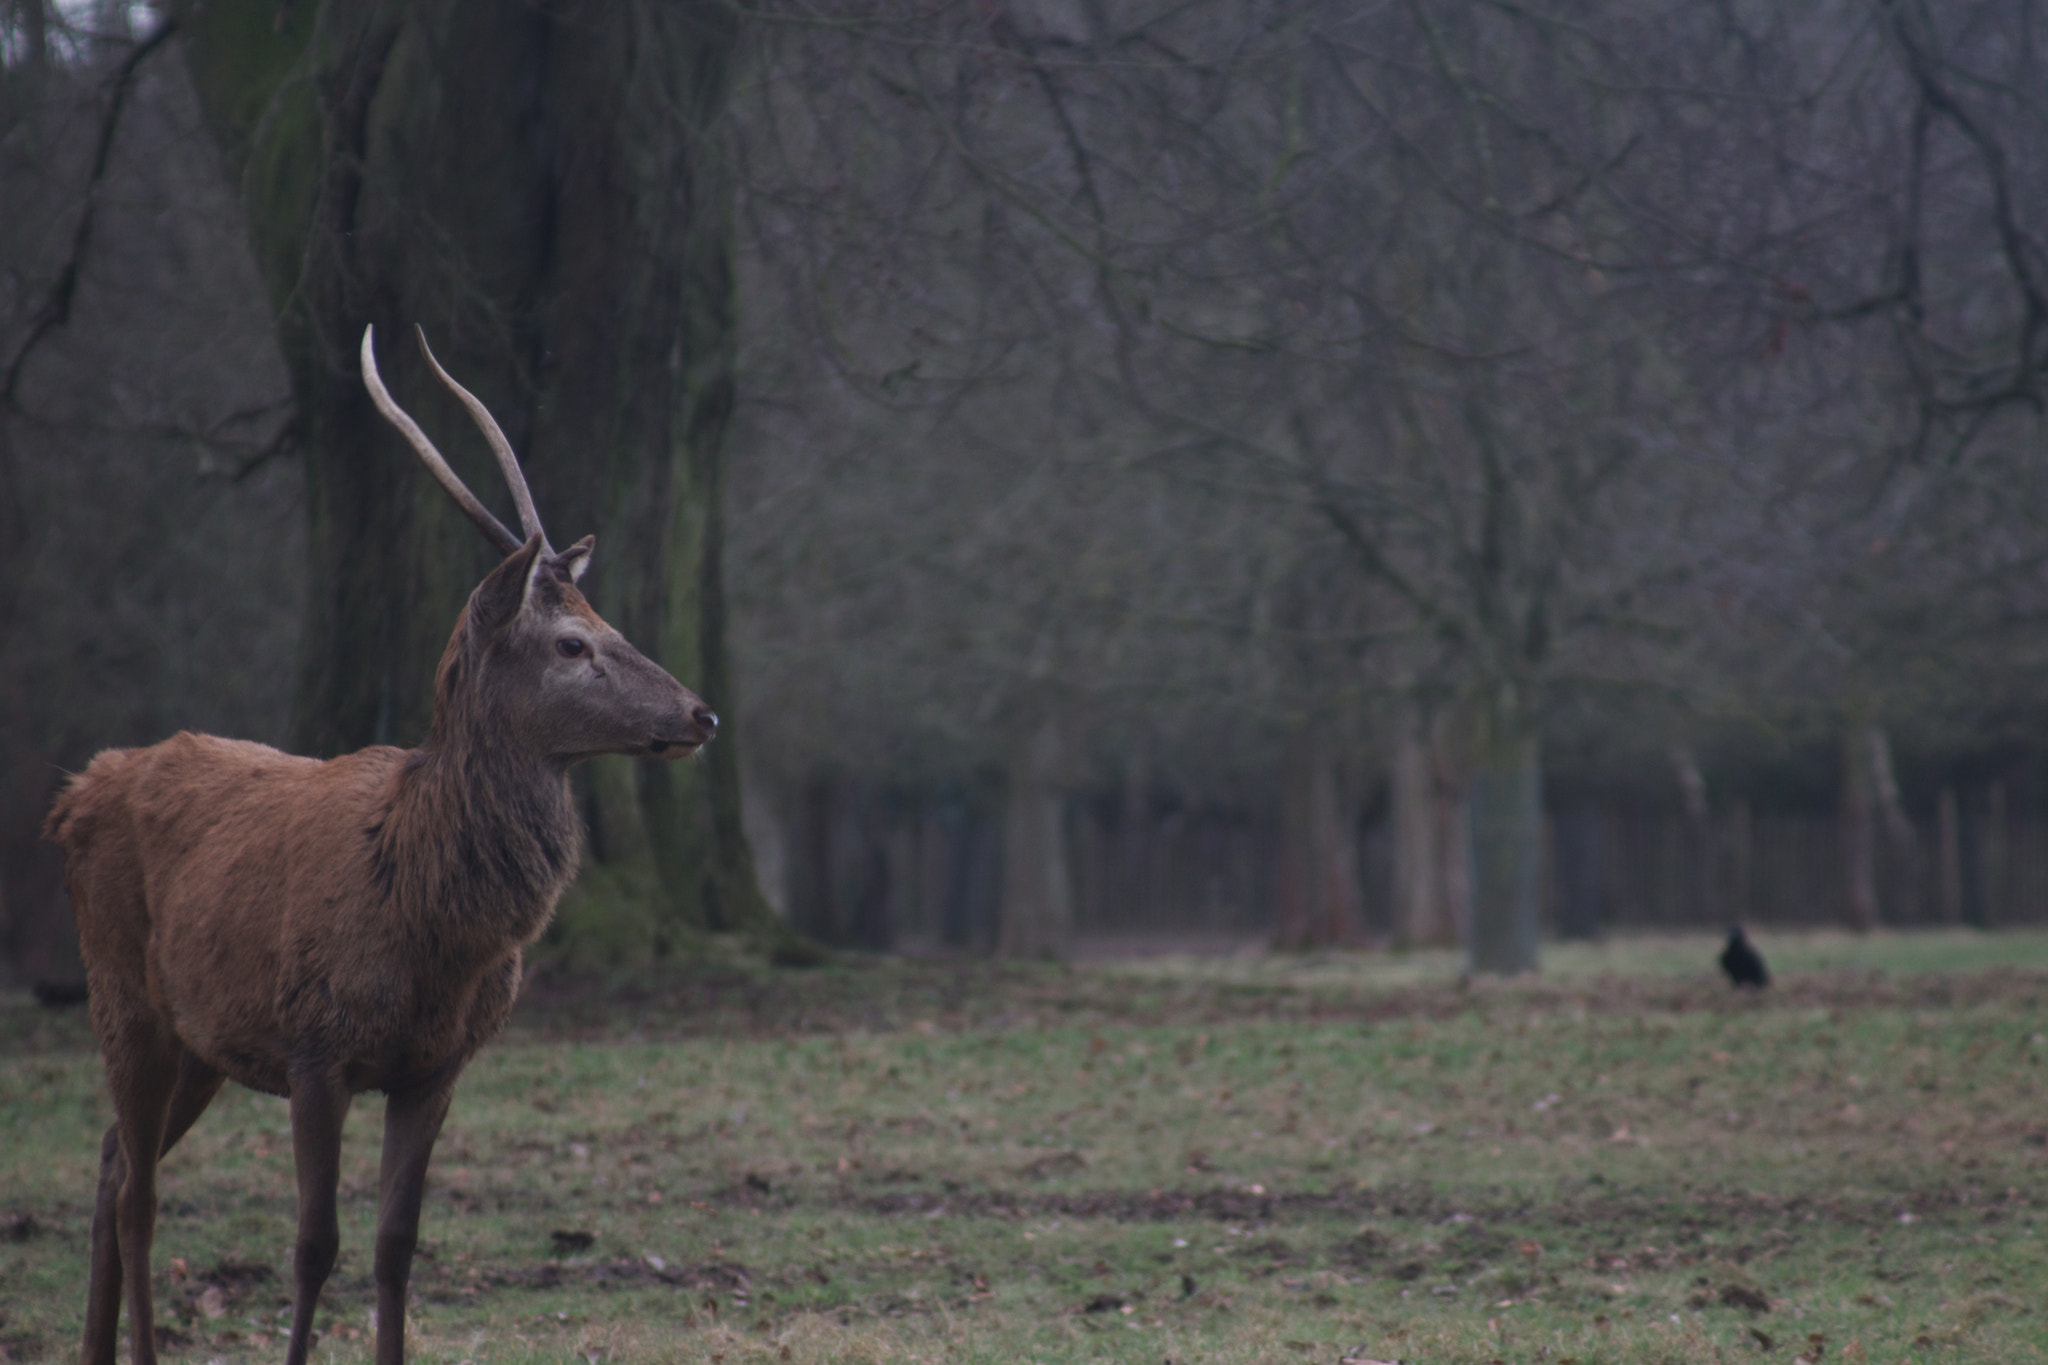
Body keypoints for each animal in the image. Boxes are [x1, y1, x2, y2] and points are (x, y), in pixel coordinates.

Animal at [41, 325, 720, 1365]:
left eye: (608, 623)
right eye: (571, 643)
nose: (700, 713)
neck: (430, 921)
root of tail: (76, 791)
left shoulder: (436, 1064)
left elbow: (398, 1242)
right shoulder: (315, 1045)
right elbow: (314, 1242)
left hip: (198, 1038)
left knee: (115, 1159)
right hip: (123, 996)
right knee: (139, 1191)